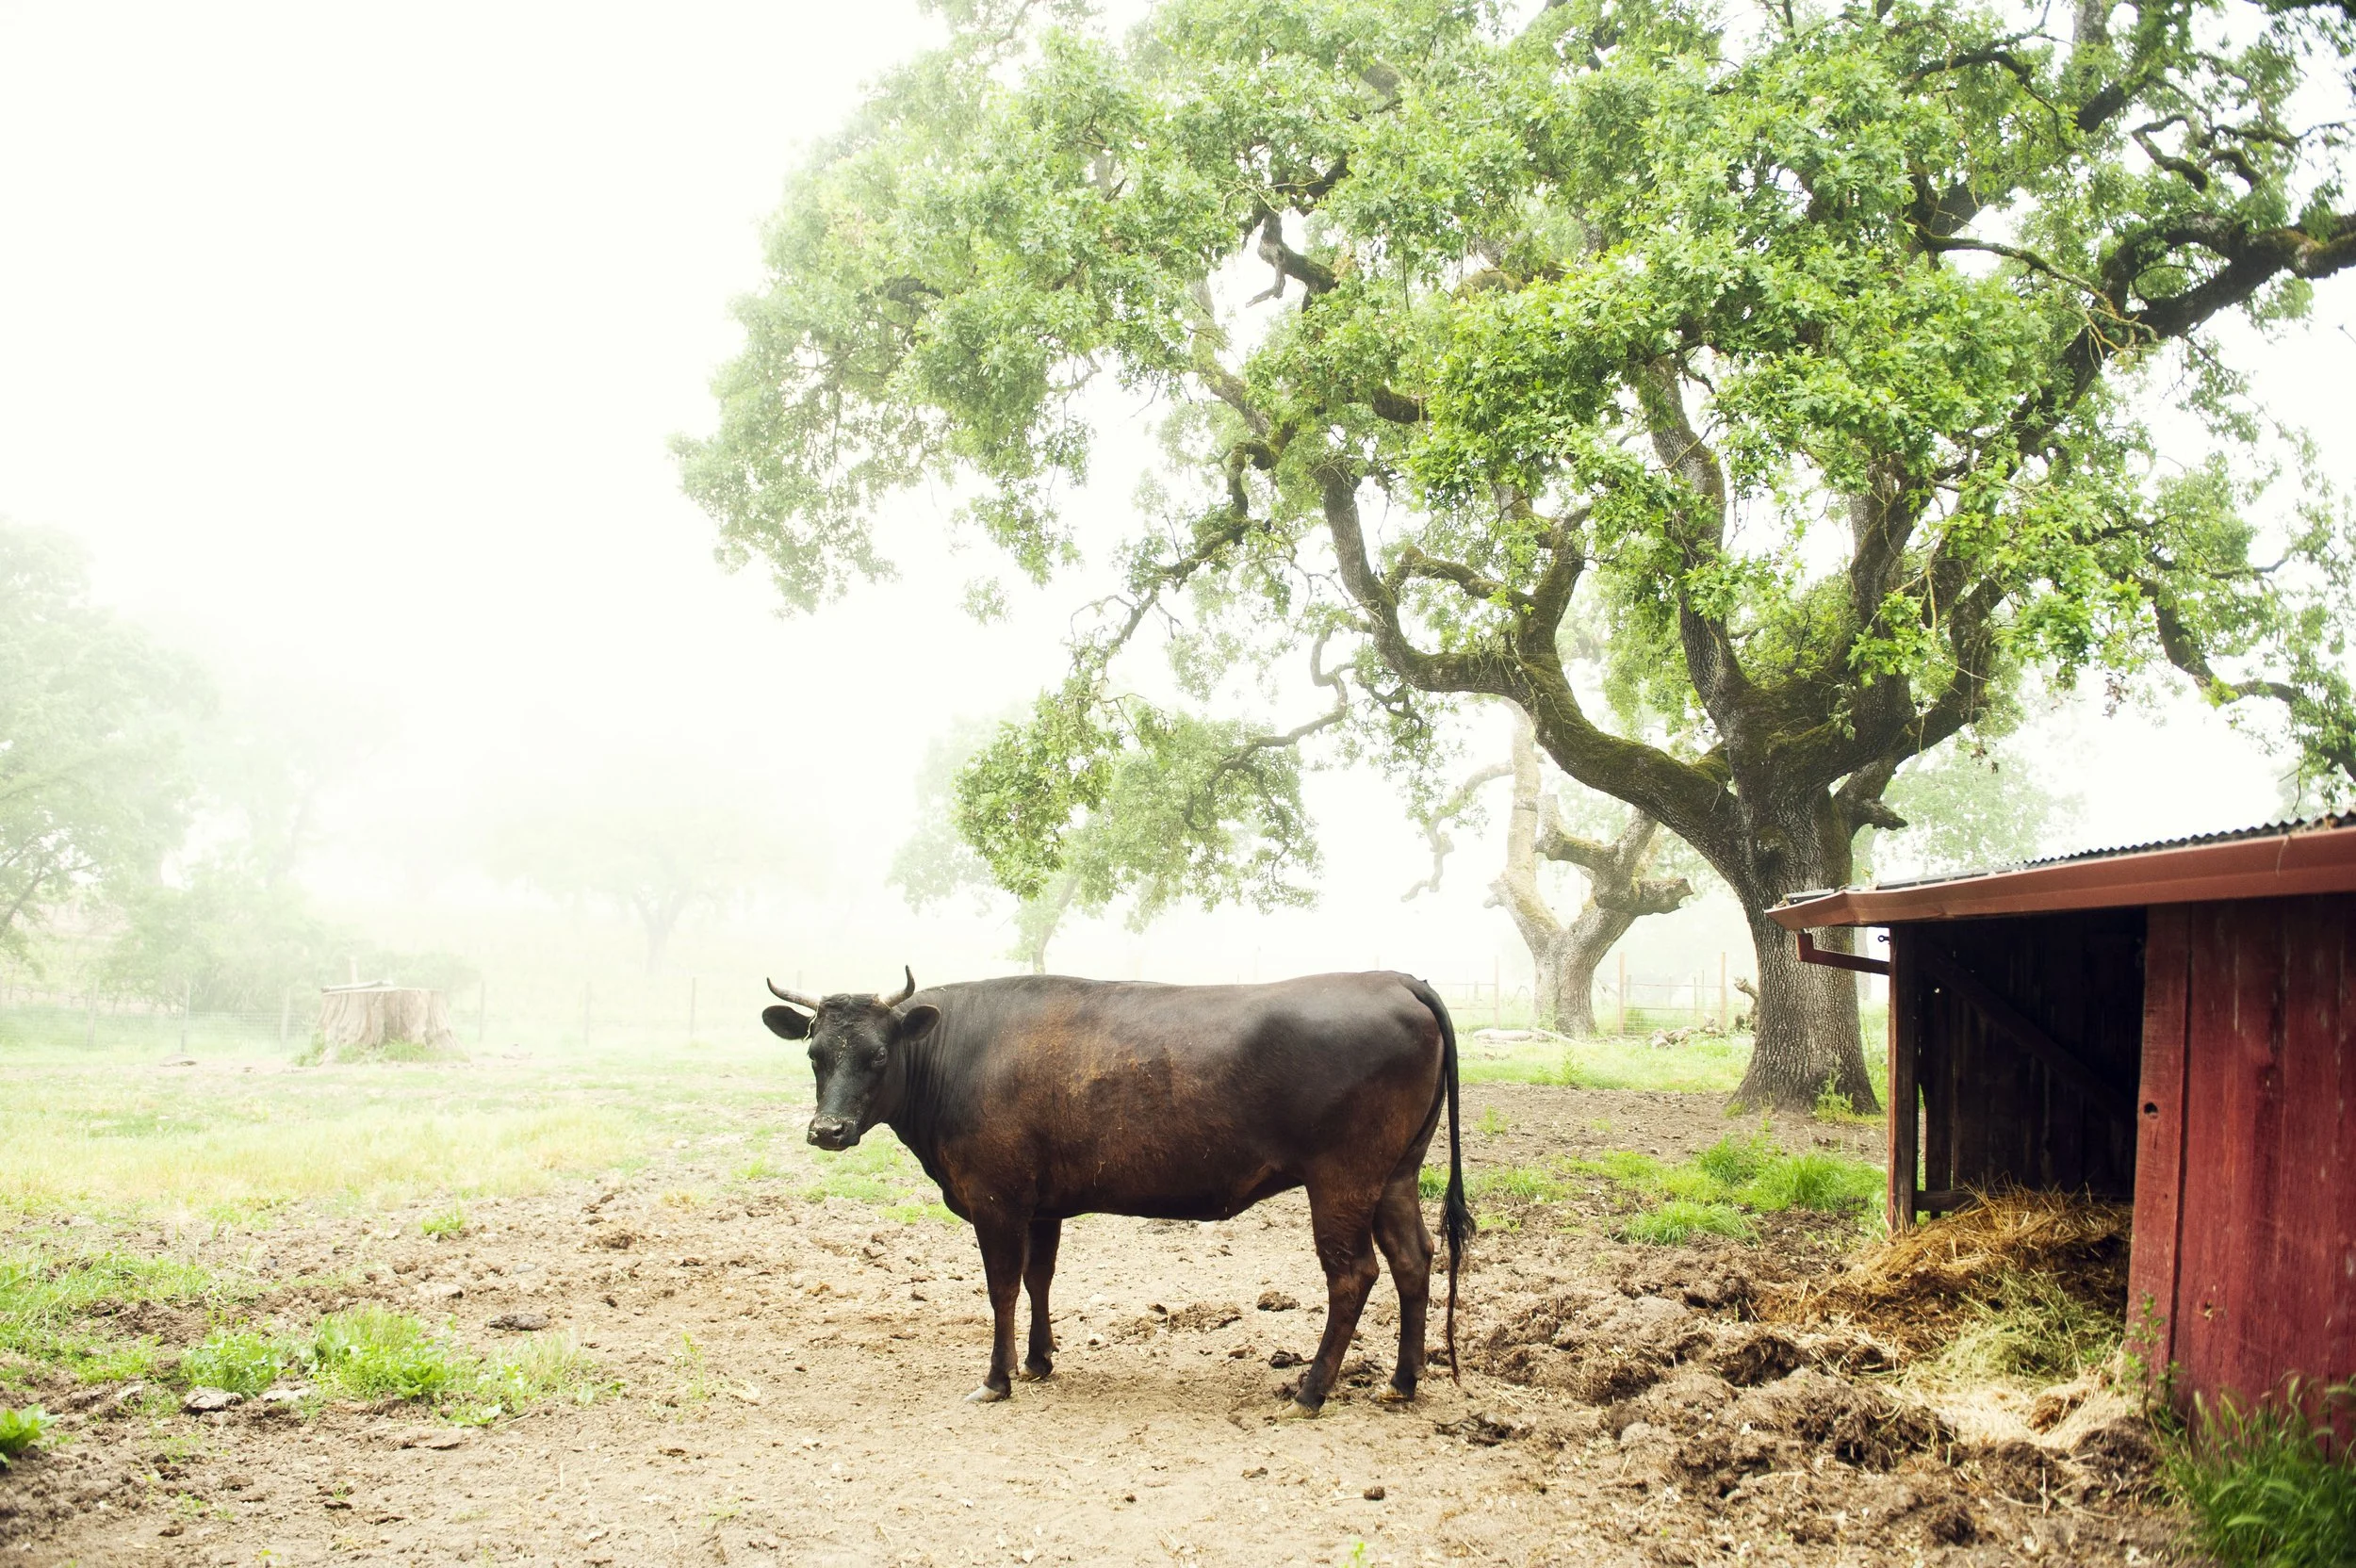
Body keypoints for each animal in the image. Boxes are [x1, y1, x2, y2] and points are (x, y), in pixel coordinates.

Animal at [760, 967, 1472, 1415]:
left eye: (878, 1056)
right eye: (814, 1055)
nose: (828, 1131)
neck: (960, 1053)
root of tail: (1395, 979)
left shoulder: (995, 1198)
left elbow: (1002, 1286)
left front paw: (996, 1379)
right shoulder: (1041, 1204)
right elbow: (1039, 1279)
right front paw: (1038, 1361)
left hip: (1343, 1177)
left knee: (1353, 1274)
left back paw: (1311, 1391)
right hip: (1396, 1174)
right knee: (1413, 1259)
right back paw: (1402, 1382)